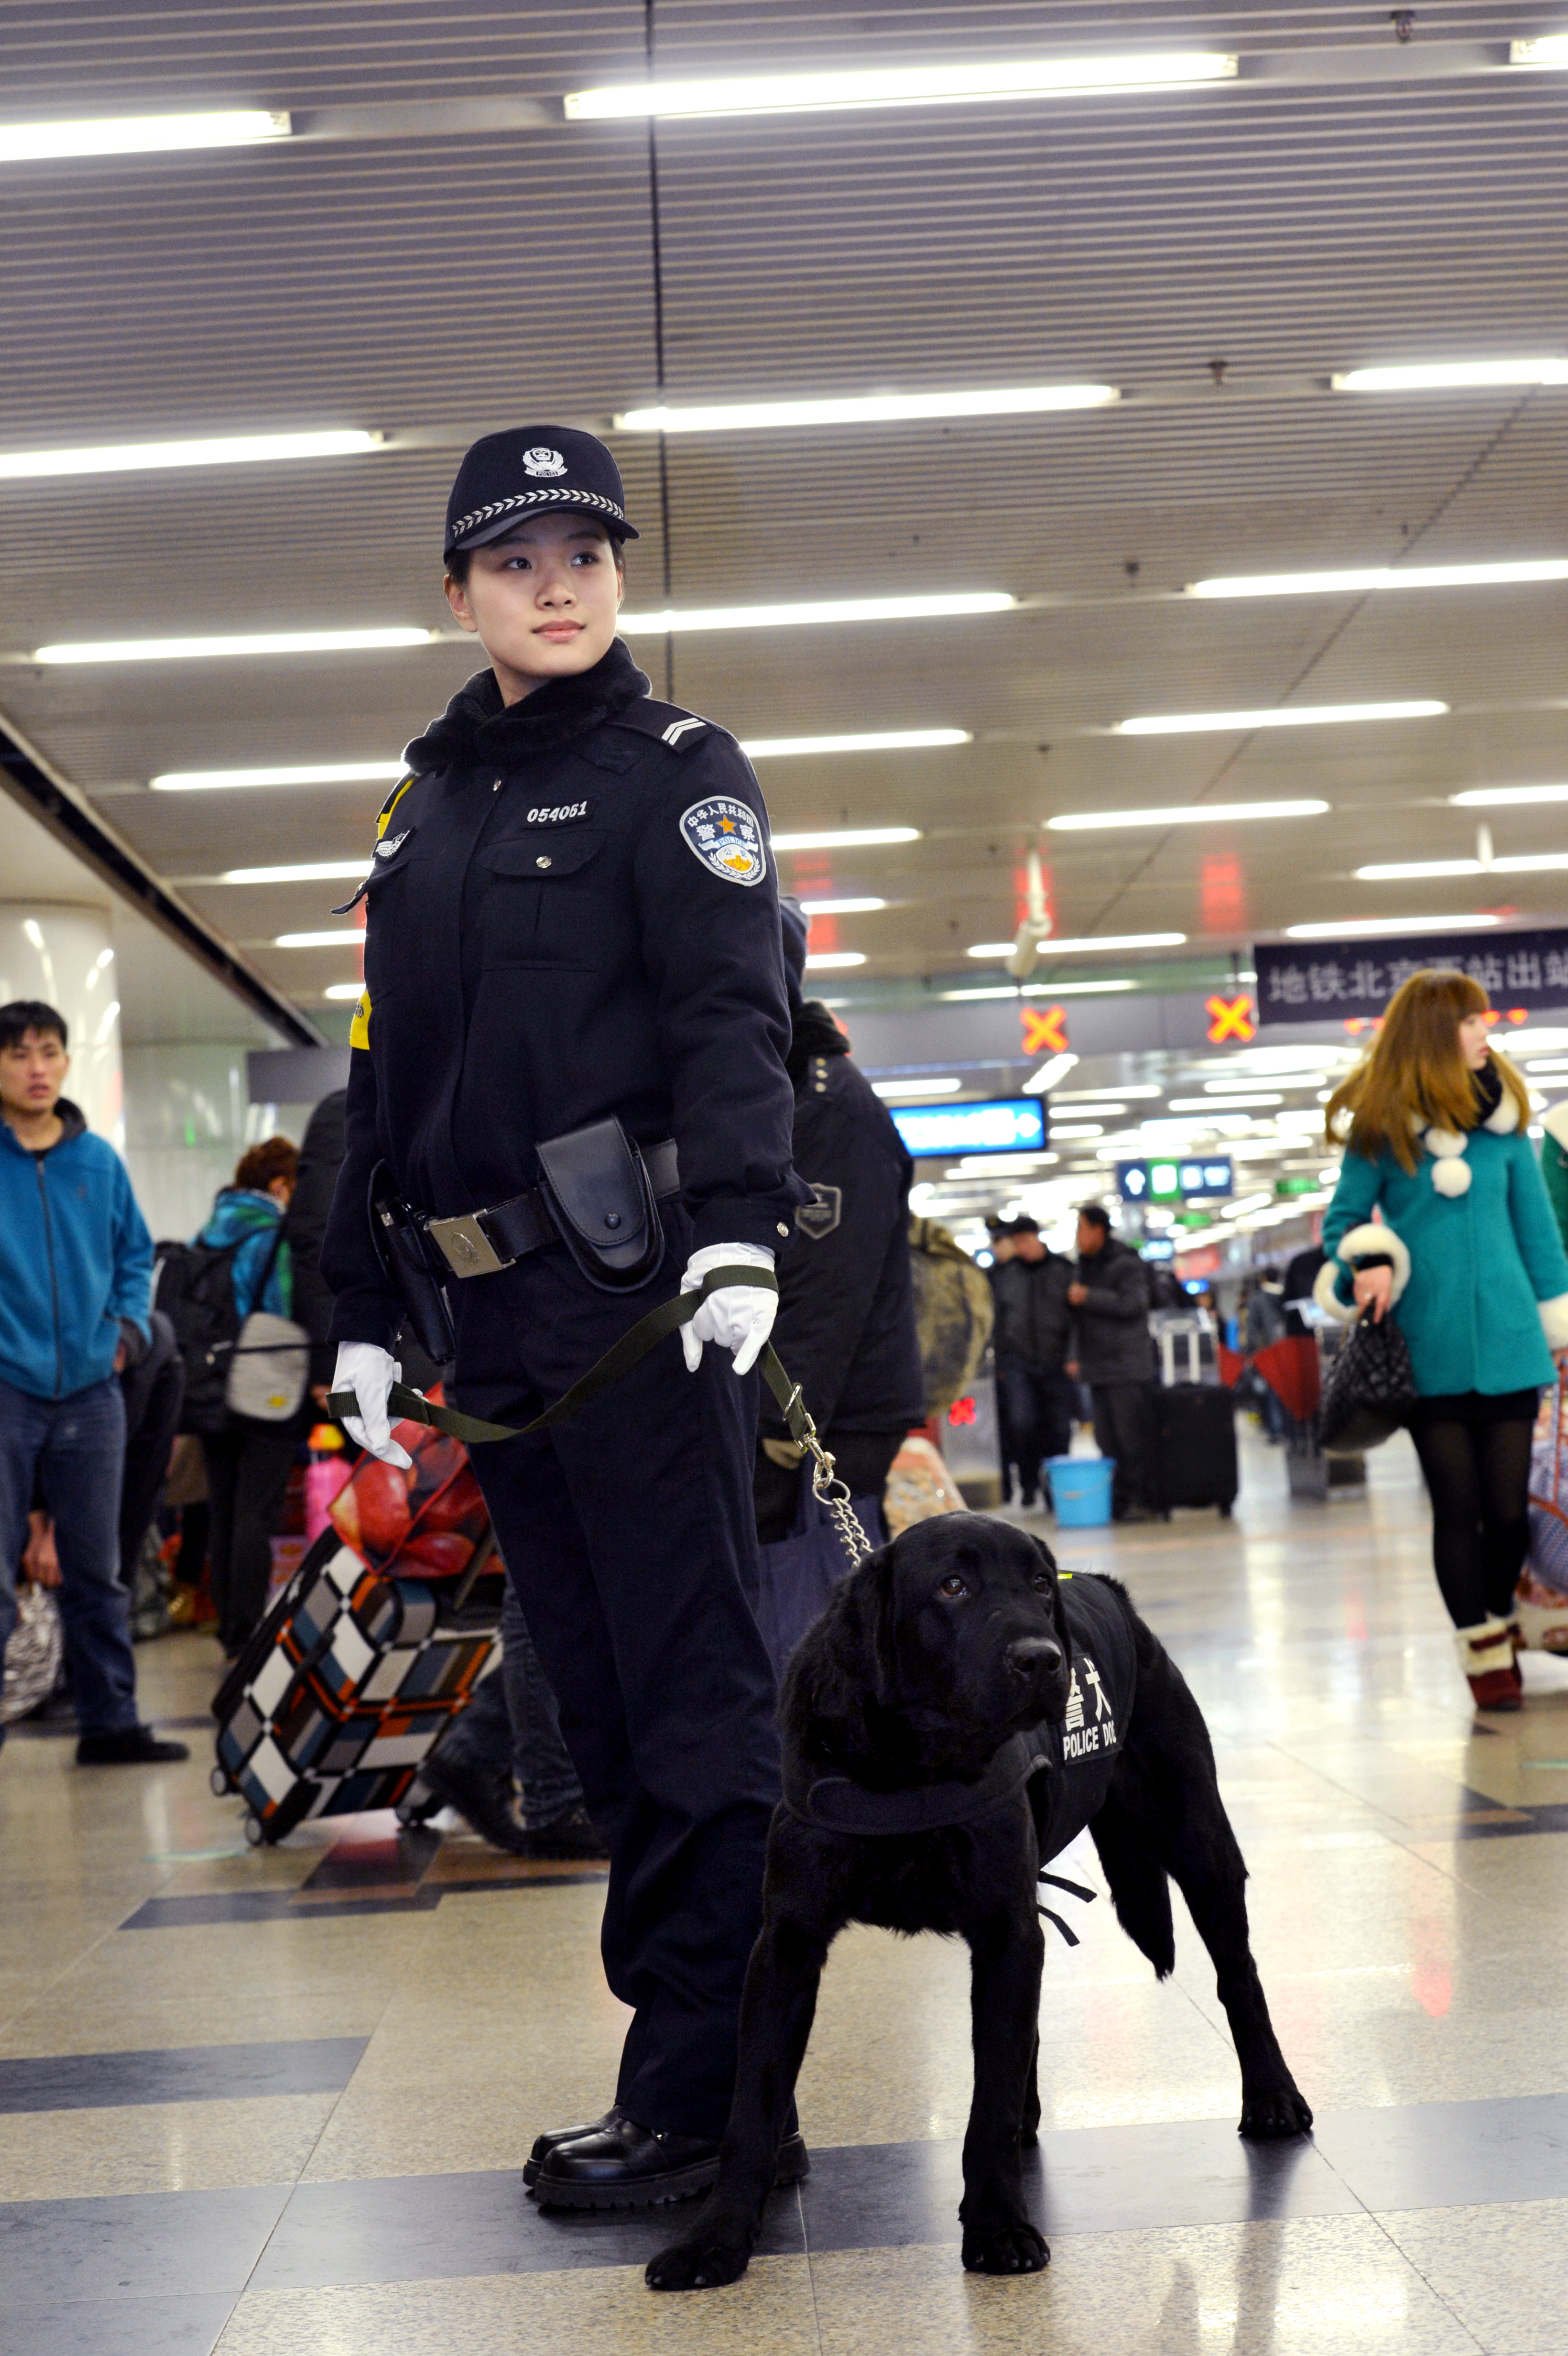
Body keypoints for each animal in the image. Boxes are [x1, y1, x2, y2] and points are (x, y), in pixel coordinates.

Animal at [645, 1517, 1309, 2290]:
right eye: (953, 1586)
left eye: (1038, 1585)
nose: (1044, 1659)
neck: (914, 1765)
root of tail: (1107, 1586)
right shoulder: (787, 1946)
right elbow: (752, 2105)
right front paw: (716, 2238)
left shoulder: (1003, 1931)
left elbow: (987, 2100)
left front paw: (997, 2225)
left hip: (1198, 1838)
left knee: (1240, 1976)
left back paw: (1272, 2096)